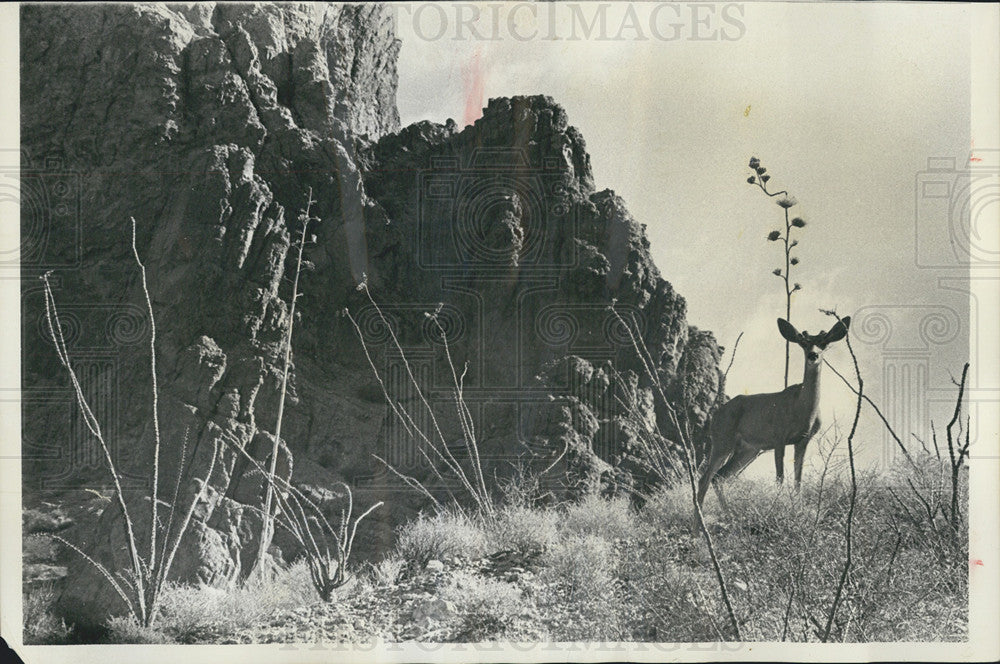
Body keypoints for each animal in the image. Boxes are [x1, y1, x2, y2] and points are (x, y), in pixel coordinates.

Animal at [696, 316, 852, 508]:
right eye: (803, 342)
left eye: (824, 342)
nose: (813, 355)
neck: (802, 410)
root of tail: (715, 416)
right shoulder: (778, 436)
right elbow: (780, 478)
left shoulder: (803, 440)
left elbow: (798, 480)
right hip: (723, 439)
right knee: (705, 479)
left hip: (748, 449)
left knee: (719, 477)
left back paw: (729, 512)